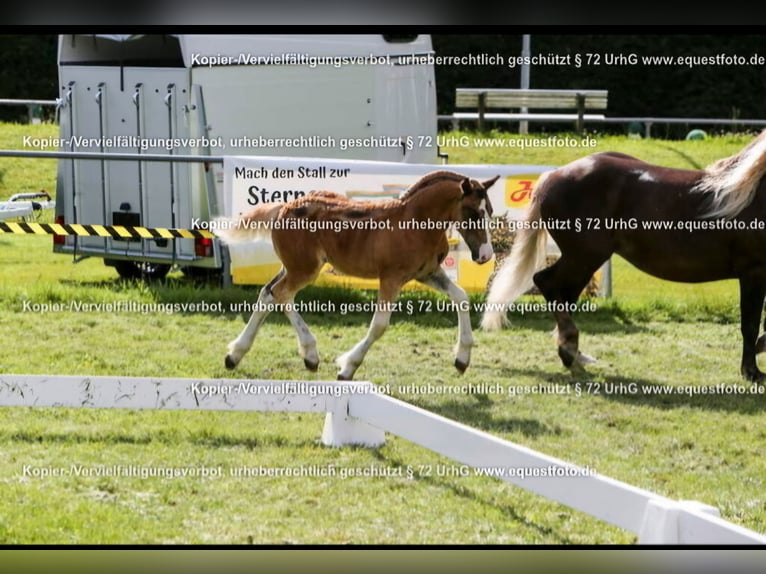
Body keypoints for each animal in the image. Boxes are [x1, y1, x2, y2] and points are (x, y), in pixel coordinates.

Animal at [219, 169, 500, 380]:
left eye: (490, 211)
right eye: (474, 213)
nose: (485, 255)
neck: (415, 222)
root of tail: (284, 206)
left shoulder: (427, 273)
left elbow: (461, 297)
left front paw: (462, 359)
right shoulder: (391, 278)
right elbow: (379, 325)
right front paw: (347, 367)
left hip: (293, 267)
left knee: (268, 294)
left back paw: (235, 355)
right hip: (304, 269)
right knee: (281, 294)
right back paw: (309, 355)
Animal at [486, 130, 766, 382]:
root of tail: (551, 176)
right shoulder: (753, 272)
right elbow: (750, 324)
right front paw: (752, 372)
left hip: (583, 261)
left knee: (562, 294)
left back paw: (573, 353)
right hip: (584, 257)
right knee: (546, 282)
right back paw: (570, 350)